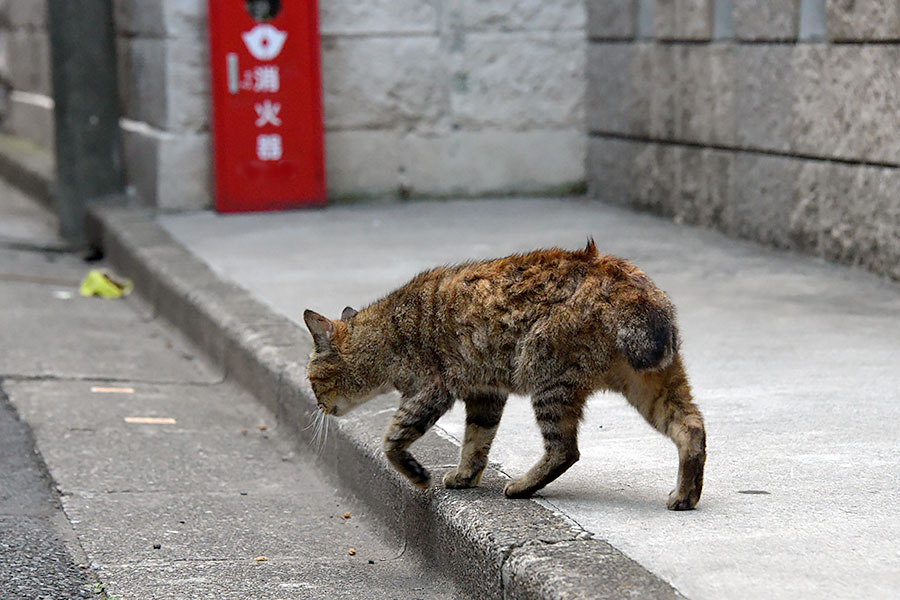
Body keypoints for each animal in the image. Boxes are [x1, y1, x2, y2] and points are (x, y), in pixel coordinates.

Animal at [306, 239, 708, 510]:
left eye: (312, 382)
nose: (318, 406)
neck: (383, 330)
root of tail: (628, 278)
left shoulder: (431, 390)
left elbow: (391, 440)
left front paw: (417, 474)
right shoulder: (484, 393)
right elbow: (476, 441)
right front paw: (465, 476)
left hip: (547, 374)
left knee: (565, 449)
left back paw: (523, 486)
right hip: (652, 384)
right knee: (691, 428)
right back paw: (685, 495)